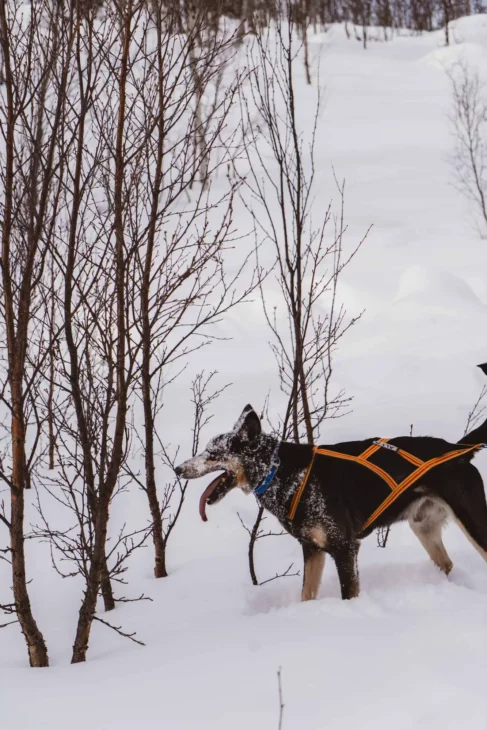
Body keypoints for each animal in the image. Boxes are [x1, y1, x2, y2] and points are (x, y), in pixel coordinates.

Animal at [175, 400, 487, 600]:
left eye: (212, 453)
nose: (178, 469)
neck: (284, 473)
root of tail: (458, 450)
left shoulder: (344, 548)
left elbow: (348, 593)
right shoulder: (313, 549)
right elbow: (306, 594)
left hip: (474, 524)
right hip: (423, 528)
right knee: (447, 564)